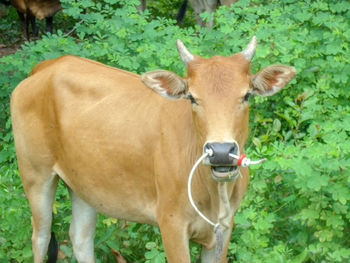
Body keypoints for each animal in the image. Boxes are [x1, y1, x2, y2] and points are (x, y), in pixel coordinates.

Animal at [10, 36, 296, 262]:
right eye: (192, 97)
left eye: (247, 95)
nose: (222, 150)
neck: (214, 192)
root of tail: (47, 66)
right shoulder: (171, 223)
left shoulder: (224, 228)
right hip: (36, 176)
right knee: (40, 237)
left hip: (84, 184)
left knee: (80, 238)